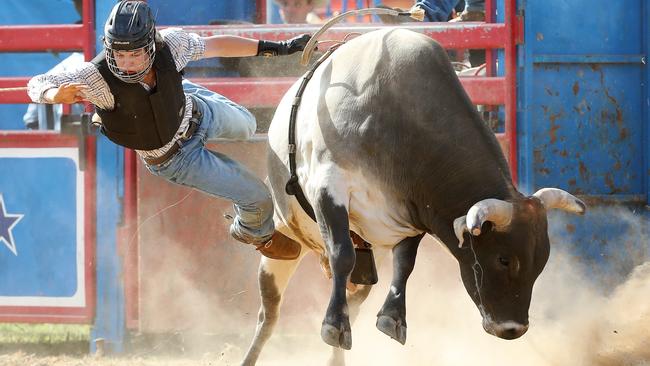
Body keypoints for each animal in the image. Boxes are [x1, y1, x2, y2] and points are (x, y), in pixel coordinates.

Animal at [238, 29, 584, 366]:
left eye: (541, 261)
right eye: (503, 258)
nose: (513, 329)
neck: (397, 117)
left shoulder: (410, 213)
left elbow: (405, 263)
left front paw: (393, 318)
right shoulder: (328, 186)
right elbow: (342, 252)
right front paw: (334, 325)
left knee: (352, 296)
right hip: (282, 245)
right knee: (269, 316)